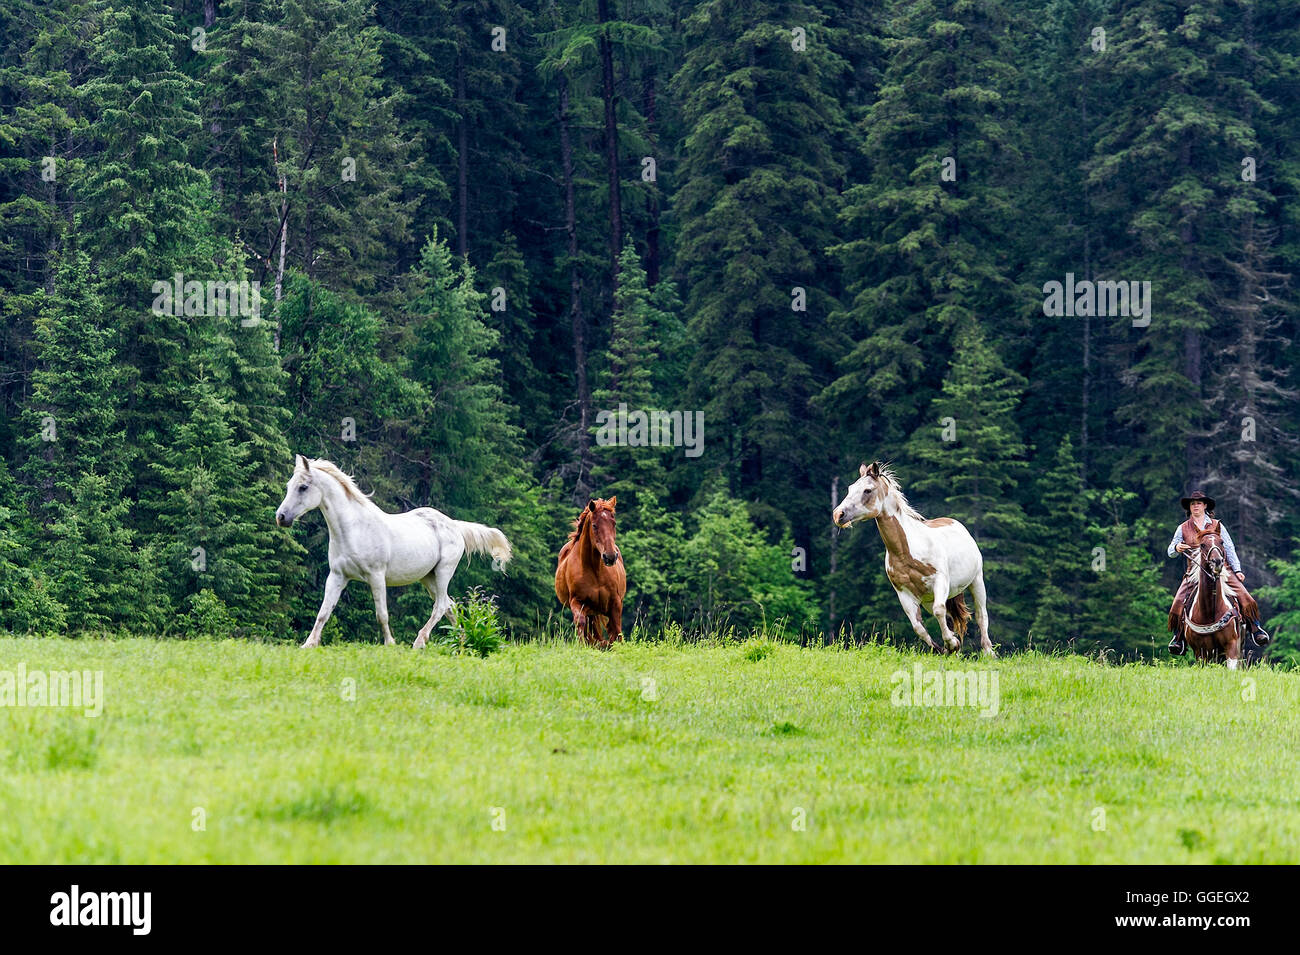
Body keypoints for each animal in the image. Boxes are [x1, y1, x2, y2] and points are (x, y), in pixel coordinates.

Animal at [275, 455, 512, 648]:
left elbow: (382, 614)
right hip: (428, 578)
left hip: (444, 572)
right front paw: (309, 644)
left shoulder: (376, 576)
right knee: (449, 605)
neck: (354, 529)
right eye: (289, 485)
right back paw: (462, 643)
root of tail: (455, 525)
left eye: (303, 487)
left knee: (441, 605)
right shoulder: (337, 576)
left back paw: (420, 642)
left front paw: (390, 643)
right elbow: (323, 612)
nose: (281, 517)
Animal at [555, 497, 626, 649]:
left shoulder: (615, 602)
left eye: (614, 523)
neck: (596, 571)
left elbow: (616, 628)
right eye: (594, 526)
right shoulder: (577, 602)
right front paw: (583, 646)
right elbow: (581, 623)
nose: (610, 556)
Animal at [833, 461, 994, 656]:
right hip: (931, 599)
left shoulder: (940, 581)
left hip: (976, 581)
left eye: (867, 490)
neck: (906, 553)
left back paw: (989, 652)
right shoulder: (905, 594)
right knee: (948, 617)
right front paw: (946, 647)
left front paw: (951, 644)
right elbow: (919, 627)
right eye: (850, 488)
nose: (838, 515)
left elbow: (939, 611)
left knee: (981, 615)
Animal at [1179, 530, 1246, 669]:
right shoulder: (1200, 651)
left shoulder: (1231, 645)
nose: (1217, 562)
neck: (1210, 611)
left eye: (1221, 542)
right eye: (1202, 544)